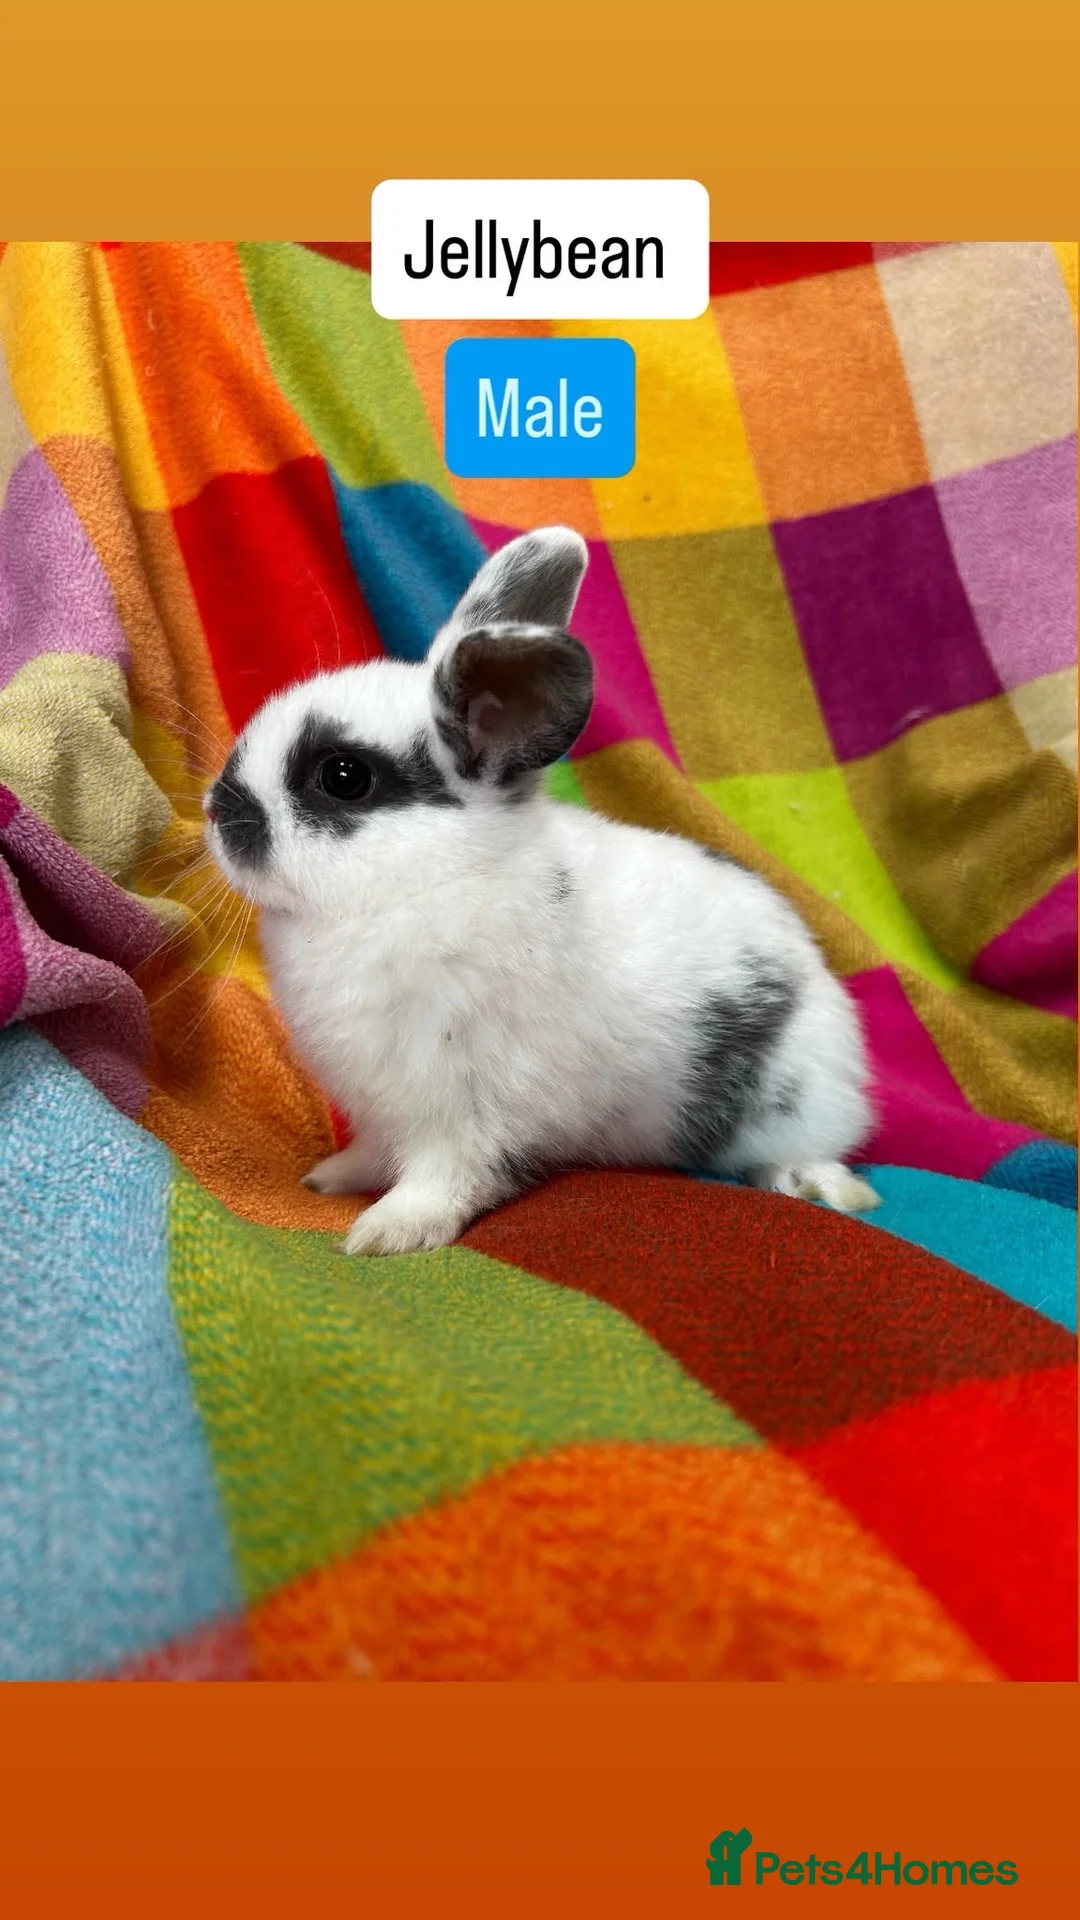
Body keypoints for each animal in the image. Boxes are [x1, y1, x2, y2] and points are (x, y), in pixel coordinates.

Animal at [204, 525, 880, 1256]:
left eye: (344, 776)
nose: (215, 809)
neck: (426, 884)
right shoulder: (387, 1107)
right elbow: (376, 1150)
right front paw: (331, 1178)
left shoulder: (464, 1107)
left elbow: (445, 1177)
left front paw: (386, 1233)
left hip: (794, 1097)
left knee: (813, 1149)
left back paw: (817, 1186)